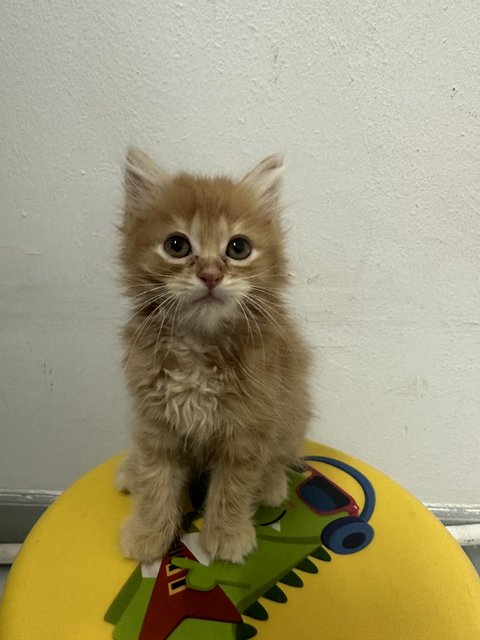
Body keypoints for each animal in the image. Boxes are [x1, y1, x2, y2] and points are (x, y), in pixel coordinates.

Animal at [117, 148, 310, 564]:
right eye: (177, 246)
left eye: (238, 248)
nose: (209, 274)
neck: (199, 346)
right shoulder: (155, 422)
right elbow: (156, 481)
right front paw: (148, 533)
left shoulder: (249, 428)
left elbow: (233, 486)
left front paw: (226, 534)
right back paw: (130, 470)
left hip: (294, 412)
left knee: (280, 457)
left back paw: (271, 483)